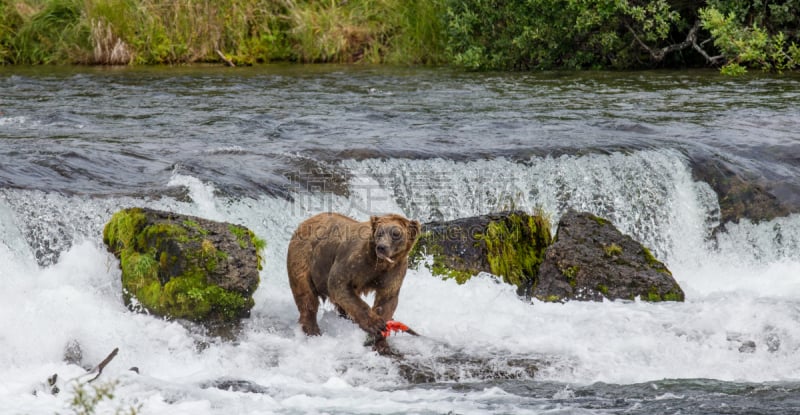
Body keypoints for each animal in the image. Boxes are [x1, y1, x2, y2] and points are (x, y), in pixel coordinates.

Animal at [290, 213, 424, 350]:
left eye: (396, 233)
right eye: (379, 233)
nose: (382, 247)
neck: (380, 264)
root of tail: (305, 222)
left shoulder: (395, 270)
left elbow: (387, 300)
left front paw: (380, 341)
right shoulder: (354, 260)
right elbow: (338, 283)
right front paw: (375, 325)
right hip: (303, 259)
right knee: (307, 298)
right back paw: (313, 331)